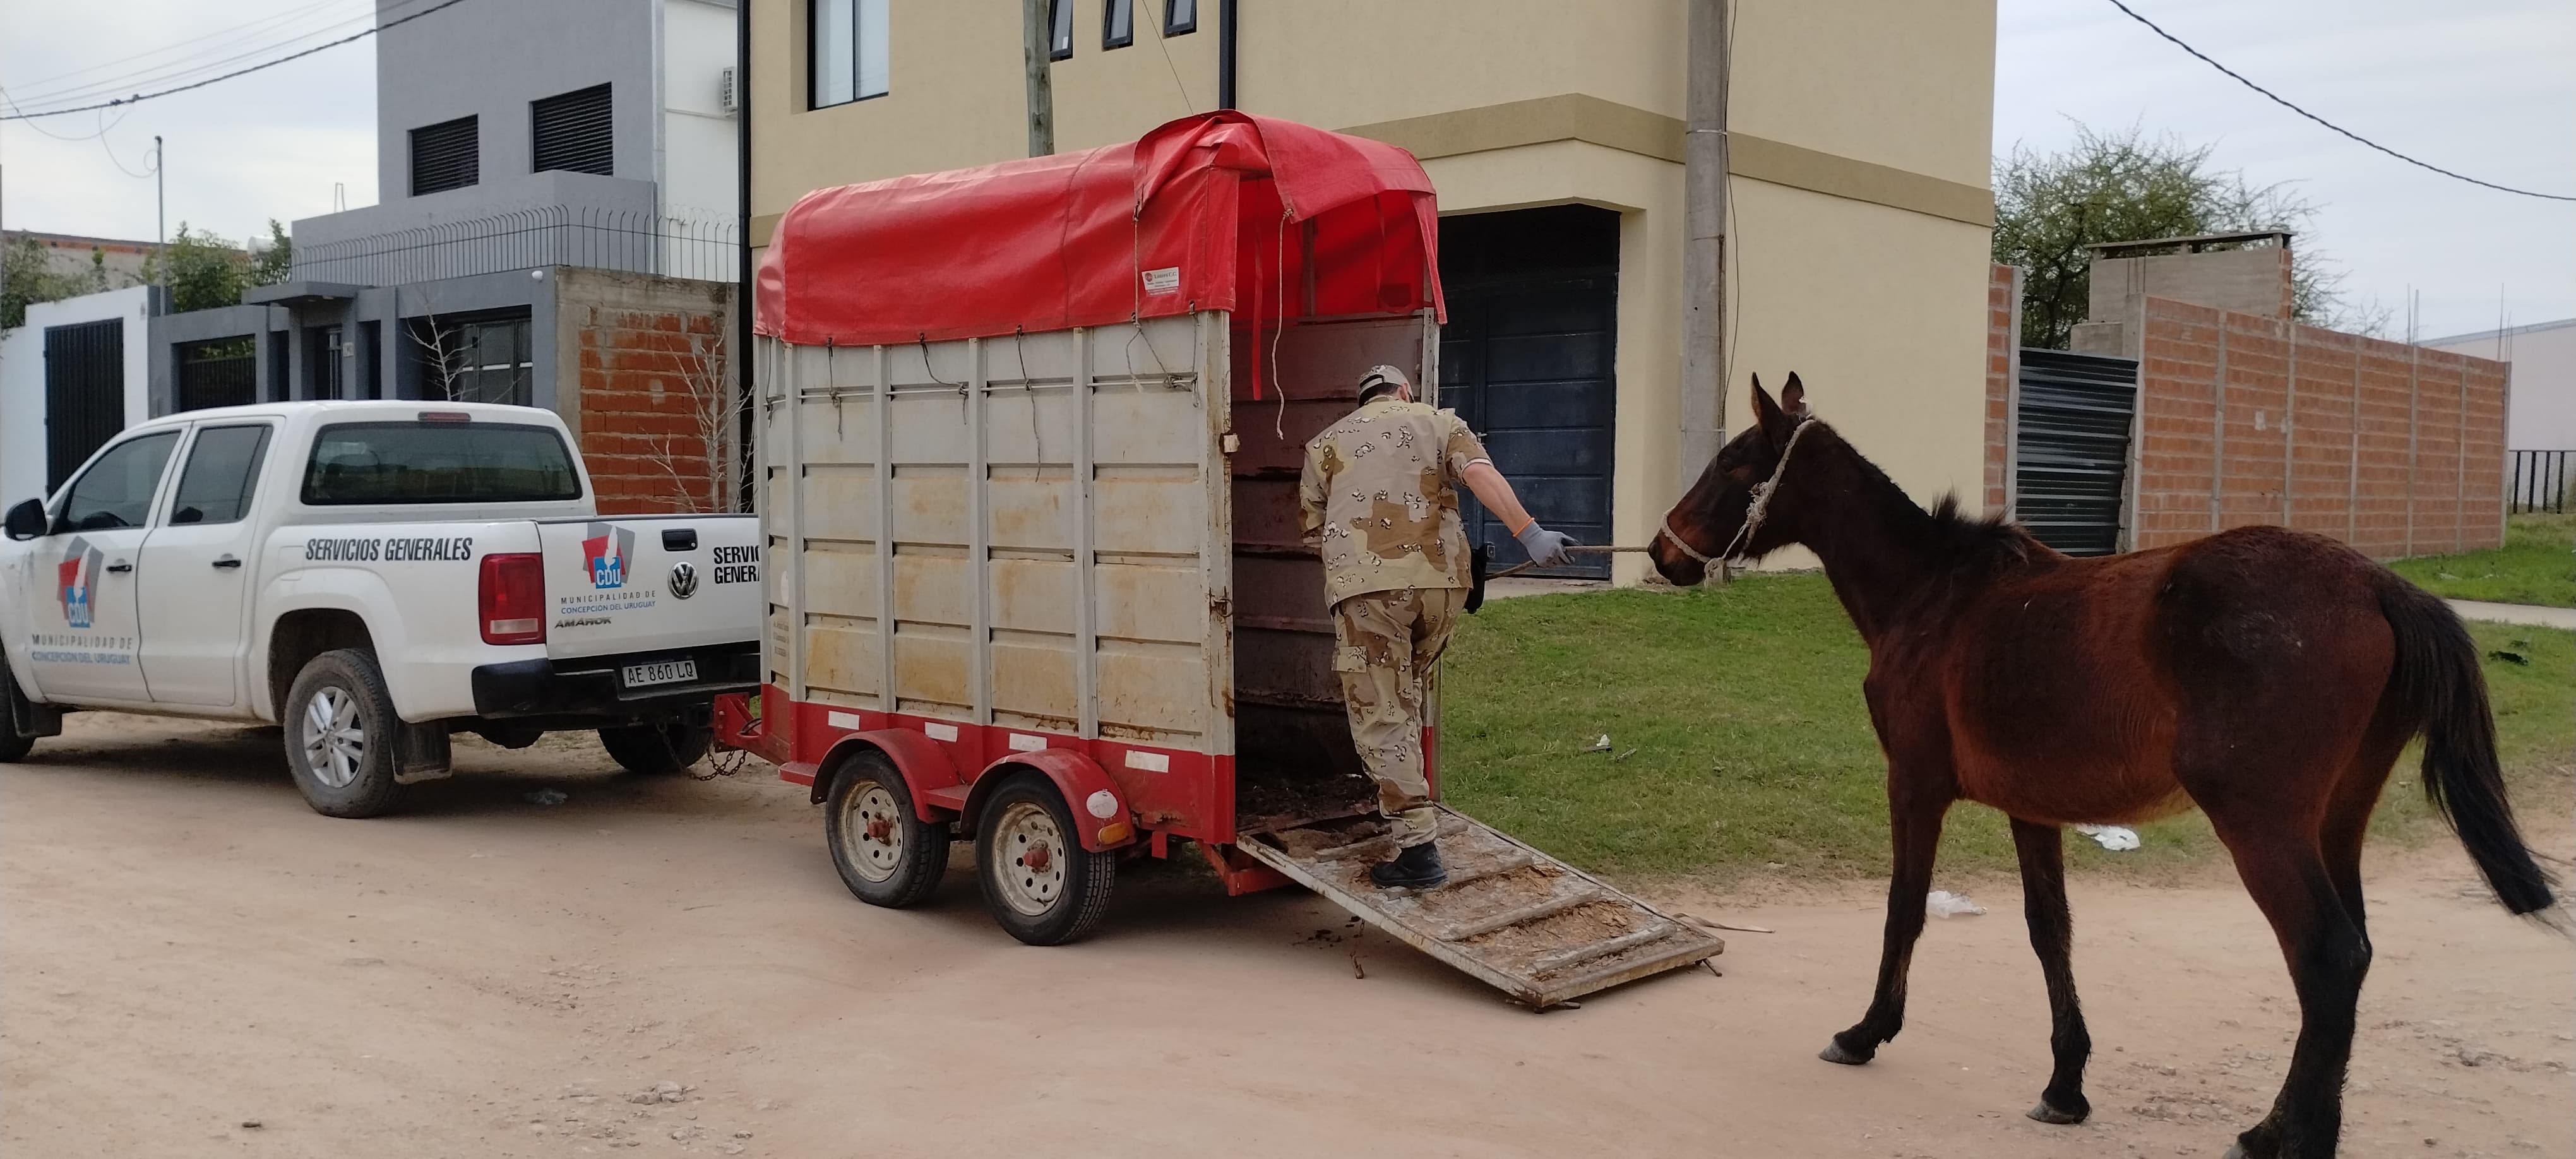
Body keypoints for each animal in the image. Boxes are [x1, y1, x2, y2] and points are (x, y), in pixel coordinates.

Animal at [1649, 376, 2555, 1153]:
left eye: (1732, 465)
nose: (1661, 552)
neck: (1935, 595)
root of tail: (2376, 585)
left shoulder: (1914, 784)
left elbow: (1904, 910)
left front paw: (1866, 1032)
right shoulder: (2031, 808)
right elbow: (2050, 930)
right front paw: (2066, 1085)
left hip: (2263, 825)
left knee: (2327, 956)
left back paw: (2288, 1137)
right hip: (2337, 820)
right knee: (2351, 954)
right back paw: (2280, 1126)